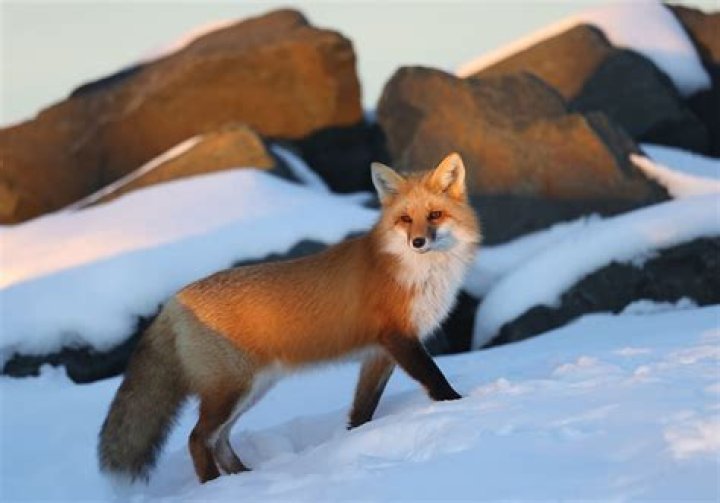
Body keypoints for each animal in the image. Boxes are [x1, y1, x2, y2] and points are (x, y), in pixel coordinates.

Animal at [98, 152, 481, 484]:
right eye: (405, 219)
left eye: (434, 215)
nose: (417, 242)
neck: (417, 272)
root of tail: (174, 300)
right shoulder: (399, 338)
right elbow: (435, 379)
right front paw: (461, 406)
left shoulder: (379, 353)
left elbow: (362, 410)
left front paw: (358, 439)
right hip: (232, 389)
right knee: (196, 439)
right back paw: (214, 486)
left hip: (251, 389)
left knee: (218, 441)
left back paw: (245, 478)